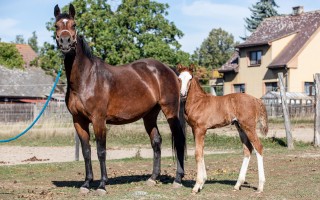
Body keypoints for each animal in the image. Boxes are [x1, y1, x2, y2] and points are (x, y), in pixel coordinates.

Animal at [178, 65, 268, 194]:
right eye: (179, 78)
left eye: (190, 79)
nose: (183, 94)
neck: (198, 102)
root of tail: (256, 100)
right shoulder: (196, 130)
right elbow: (202, 151)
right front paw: (202, 182)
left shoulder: (200, 129)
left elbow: (198, 153)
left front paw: (197, 185)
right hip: (240, 127)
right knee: (248, 149)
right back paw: (237, 184)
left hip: (248, 126)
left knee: (258, 147)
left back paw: (260, 187)